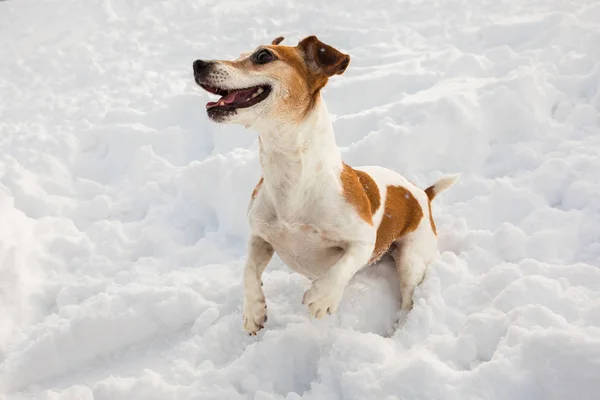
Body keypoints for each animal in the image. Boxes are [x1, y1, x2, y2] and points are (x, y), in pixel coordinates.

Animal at [193, 36, 460, 334]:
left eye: (263, 56)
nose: (198, 63)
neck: (294, 178)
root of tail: (422, 194)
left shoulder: (363, 240)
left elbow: (343, 266)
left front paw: (322, 298)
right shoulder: (260, 236)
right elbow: (248, 270)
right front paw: (253, 311)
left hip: (411, 259)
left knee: (408, 297)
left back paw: (398, 328)